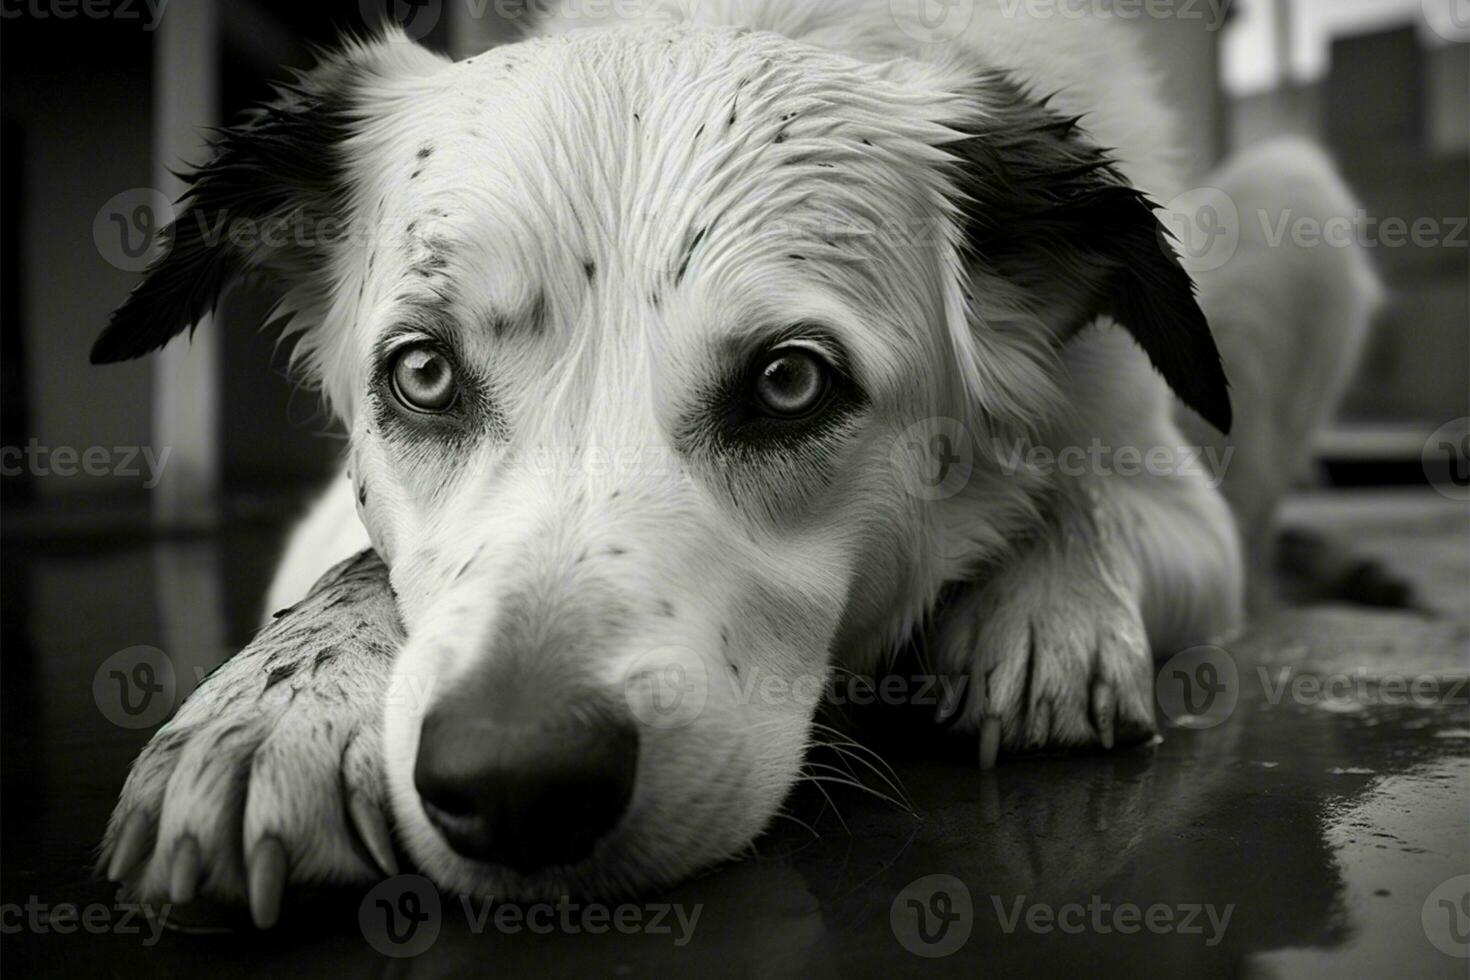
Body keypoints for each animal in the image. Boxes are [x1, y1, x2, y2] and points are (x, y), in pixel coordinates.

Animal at [91, 0, 1375, 934]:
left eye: (791, 382)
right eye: (422, 373)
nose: (515, 784)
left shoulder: (1185, 504)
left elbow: (1089, 489)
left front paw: (1047, 604)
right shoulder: (326, 523)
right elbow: (353, 568)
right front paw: (271, 713)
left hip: (1301, 200)